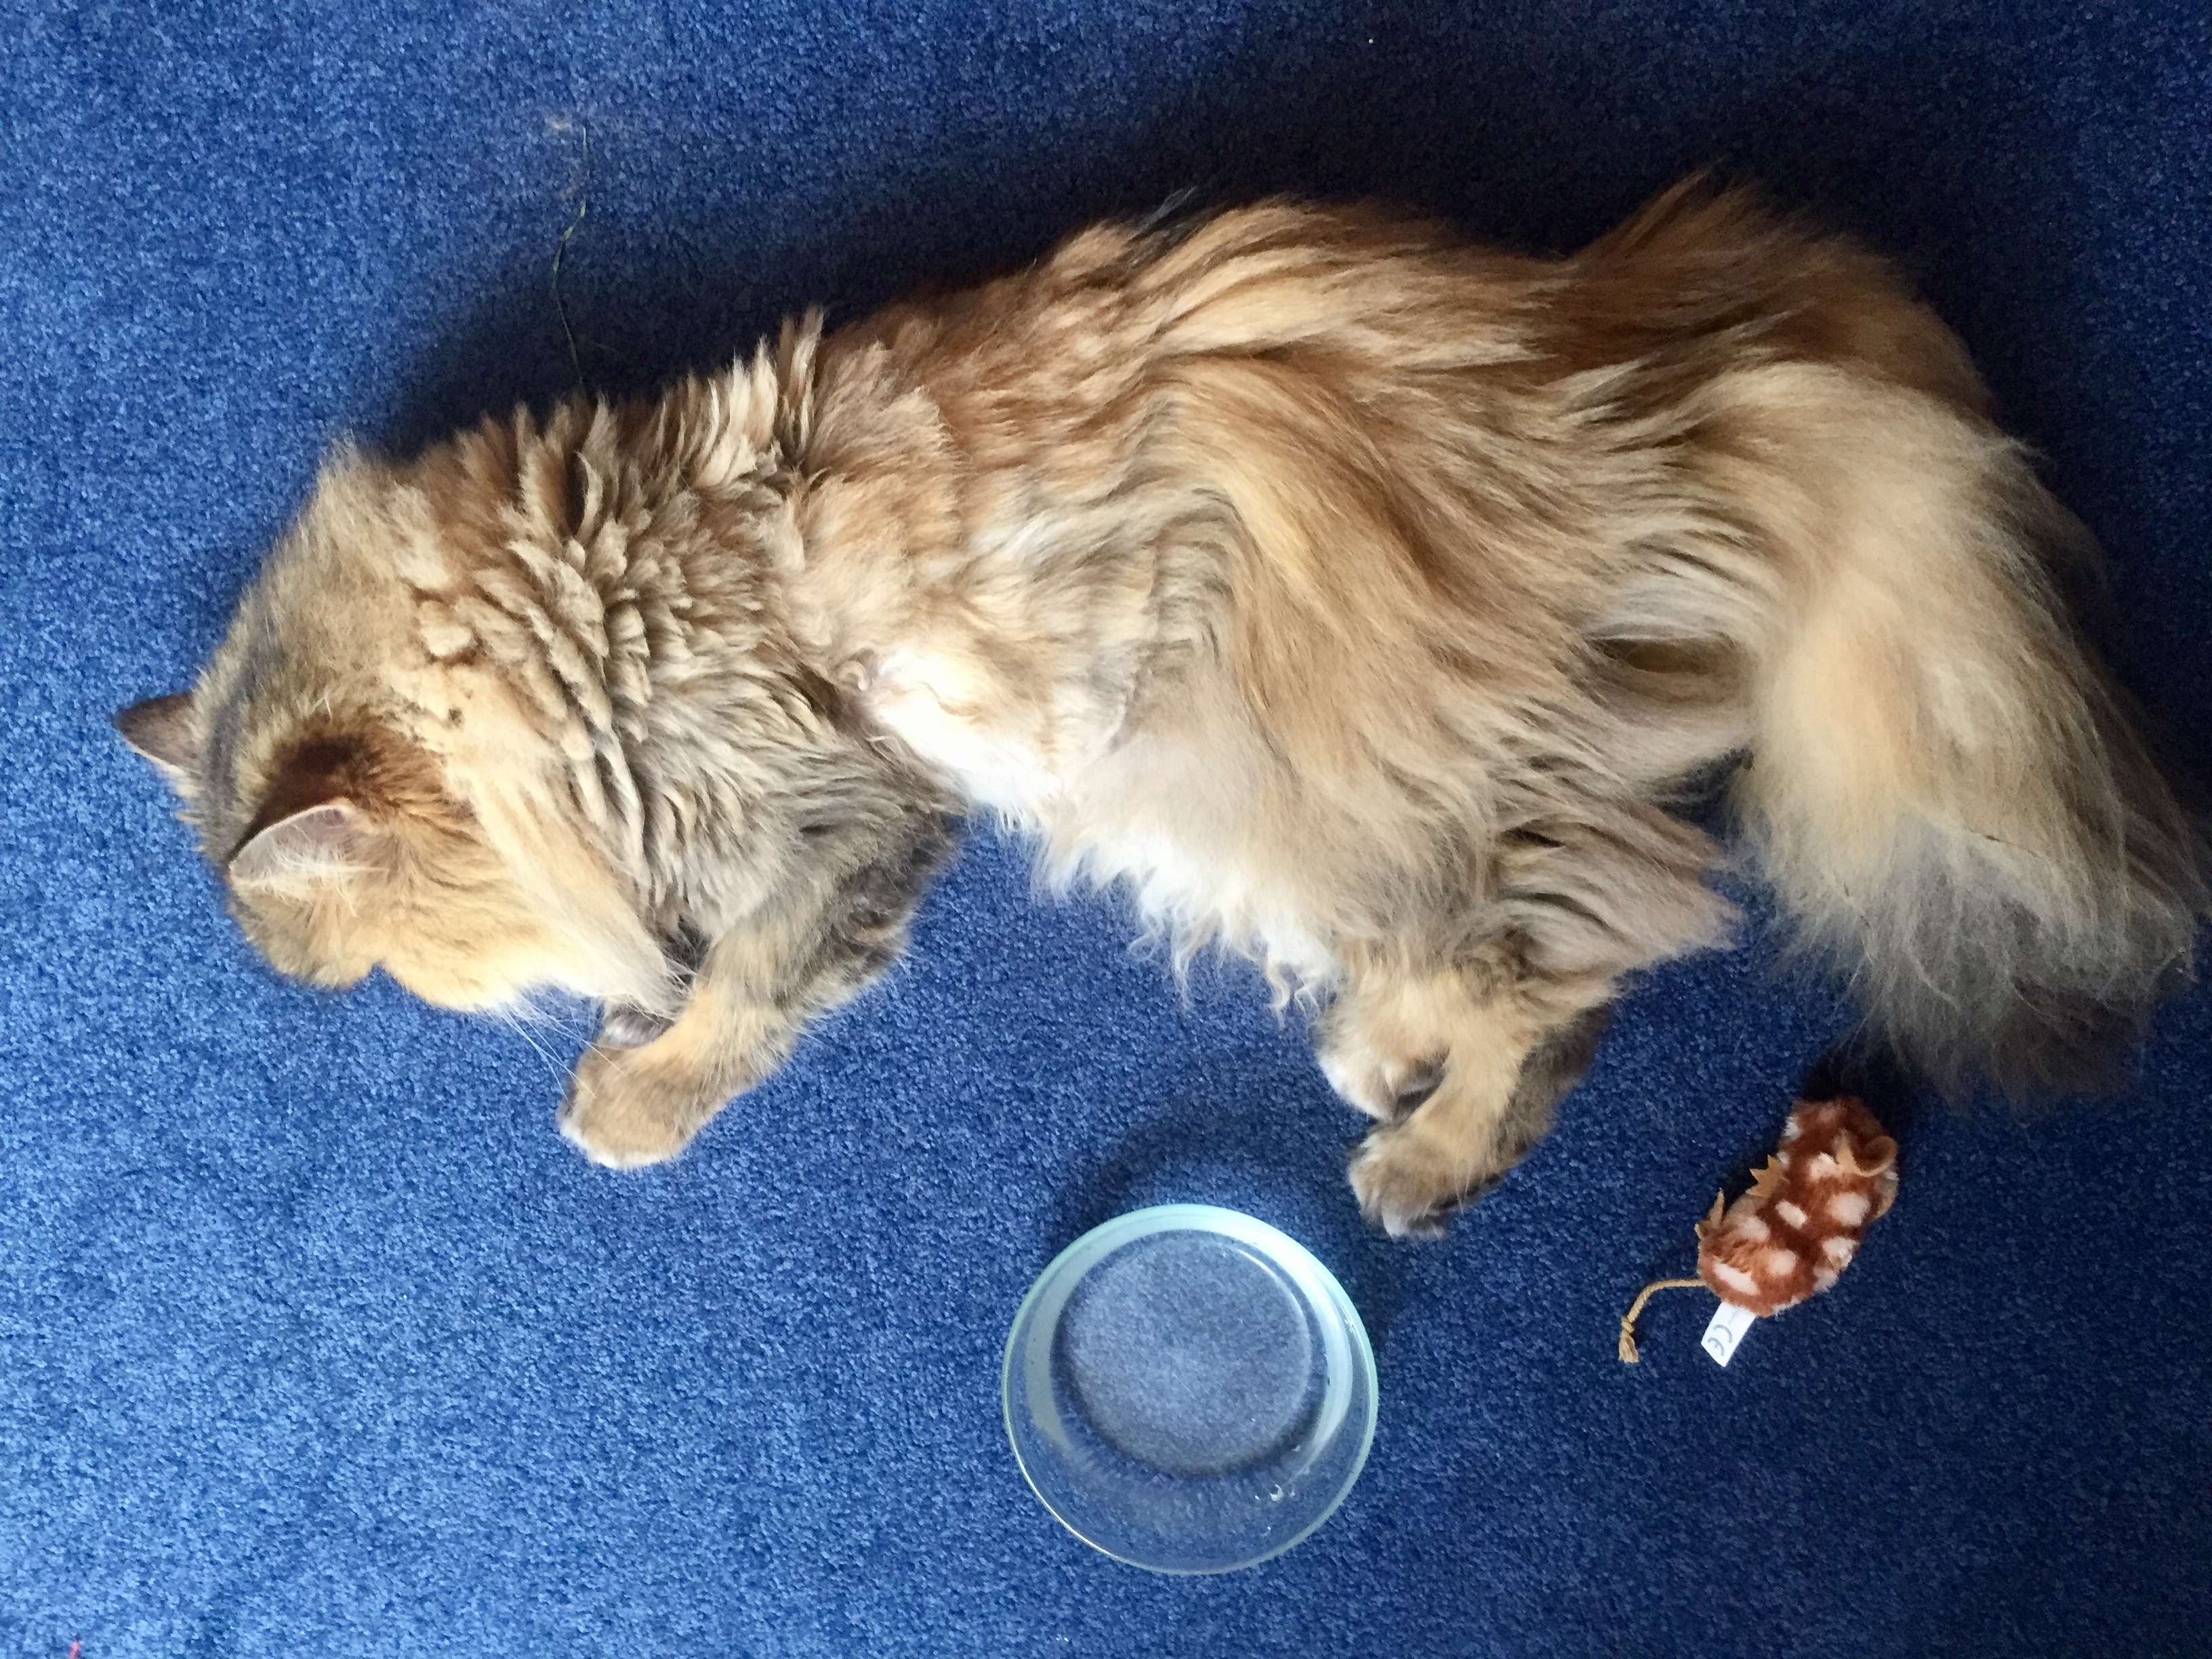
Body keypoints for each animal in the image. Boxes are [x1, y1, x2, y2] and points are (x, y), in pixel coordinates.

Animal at [117, 180, 2206, 1236]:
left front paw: (632, 1091)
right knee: (1550, 951)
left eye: (396, 968)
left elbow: (745, 994)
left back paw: (1419, 1158)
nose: (362, 1002)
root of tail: (1677, 355)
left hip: (1331, 791)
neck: (585, 609)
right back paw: (1382, 1063)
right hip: (1302, 821)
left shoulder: (850, 816)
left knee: (1581, 971)